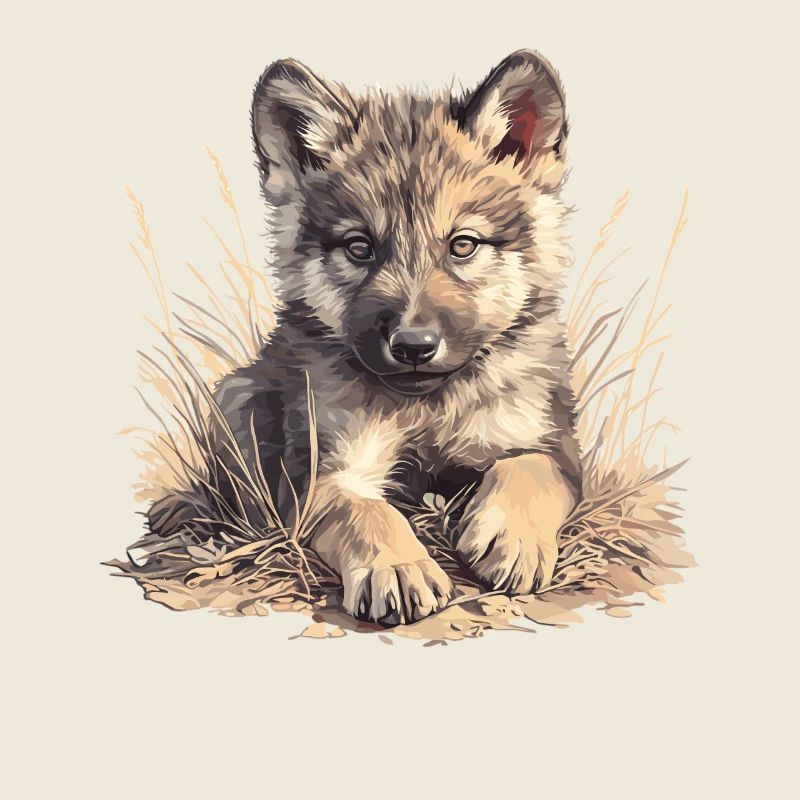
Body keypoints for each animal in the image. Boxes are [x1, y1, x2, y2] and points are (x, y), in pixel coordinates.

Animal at [148, 50, 582, 626]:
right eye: (360, 248)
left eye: (463, 245)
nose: (413, 346)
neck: (426, 408)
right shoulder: (324, 470)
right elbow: (363, 511)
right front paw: (395, 566)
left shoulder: (549, 443)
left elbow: (529, 471)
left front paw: (512, 537)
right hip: (235, 396)